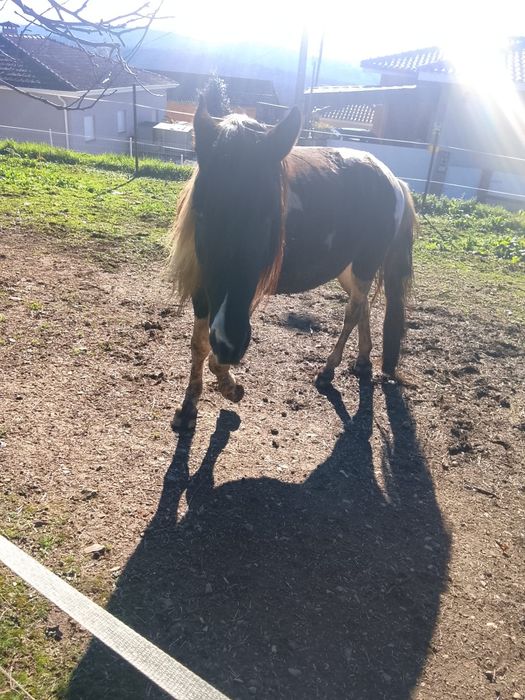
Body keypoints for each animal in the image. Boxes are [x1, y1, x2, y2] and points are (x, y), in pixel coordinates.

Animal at [167, 97, 416, 431]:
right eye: (202, 212)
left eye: (270, 218)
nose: (231, 342)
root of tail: (393, 179)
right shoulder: (202, 287)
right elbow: (200, 345)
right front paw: (188, 408)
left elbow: (213, 354)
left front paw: (230, 386)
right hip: (348, 269)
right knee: (362, 305)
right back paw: (362, 363)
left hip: (365, 263)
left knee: (352, 312)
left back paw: (327, 371)